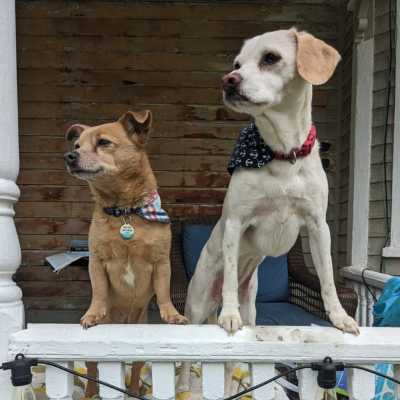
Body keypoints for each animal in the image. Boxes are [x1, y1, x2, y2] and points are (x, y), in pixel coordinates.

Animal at [63, 109, 186, 394]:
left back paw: (134, 391)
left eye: (103, 142)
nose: (69, 156)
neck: (125, 211)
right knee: (93, 374)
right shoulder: (97, 262)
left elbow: (164, 292)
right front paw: (93, 313)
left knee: (135, 372)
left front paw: (172, 314)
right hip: (93, 359)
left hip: (140, 352)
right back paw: (90, 394)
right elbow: (99, 291)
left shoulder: (162, 263)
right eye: (77, 145)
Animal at [183, 27, 358, 334]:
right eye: (237, 64)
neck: (281, 152)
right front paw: (229, 315)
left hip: (251, 304)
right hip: (198, 305)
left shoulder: (318, 226)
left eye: (270, 58)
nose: (228, 81)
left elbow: (327, 279)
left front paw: (340, 317)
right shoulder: (235, 222)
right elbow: (230, 274)